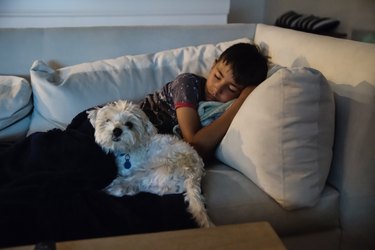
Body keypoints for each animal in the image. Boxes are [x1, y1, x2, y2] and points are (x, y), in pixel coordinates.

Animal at [86, 99, 213, 227]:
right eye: (107, 120)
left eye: (129, 124)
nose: (117, 131)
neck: (128, 149)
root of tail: (194, 175)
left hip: (151, 171)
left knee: (125, 187)